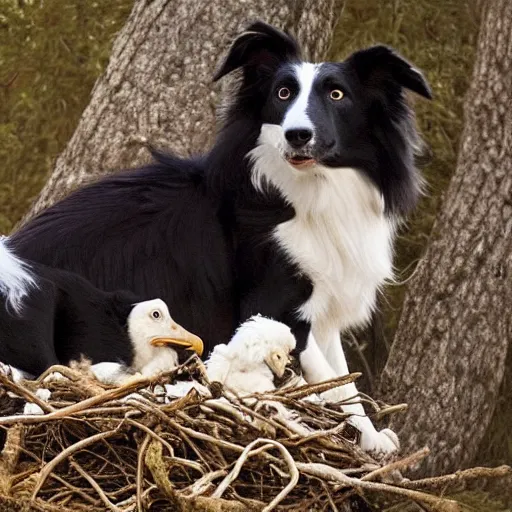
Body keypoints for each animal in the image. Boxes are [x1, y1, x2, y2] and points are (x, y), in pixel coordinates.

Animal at [10, 22, 430, 454]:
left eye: (336, 94)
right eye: (283, 93)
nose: (297, 135)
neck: (309, 192)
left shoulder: (325, 302)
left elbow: (343, 378)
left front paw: (370, 437)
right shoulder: (277, 302)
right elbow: (331, 380)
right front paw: (366, 438)